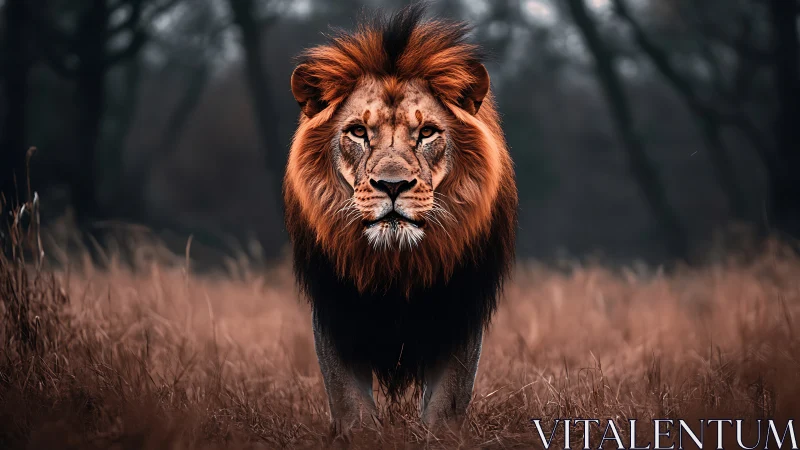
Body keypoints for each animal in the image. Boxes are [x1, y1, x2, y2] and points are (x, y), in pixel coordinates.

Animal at [283, 3, 518, 436]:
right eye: (358, 131)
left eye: (426, 132)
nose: (392, 185)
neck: (396, 263)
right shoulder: (335, 307)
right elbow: (348, 400)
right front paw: (359, 436)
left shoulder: (460, 308)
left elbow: (447, 400)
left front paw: (440, 436)